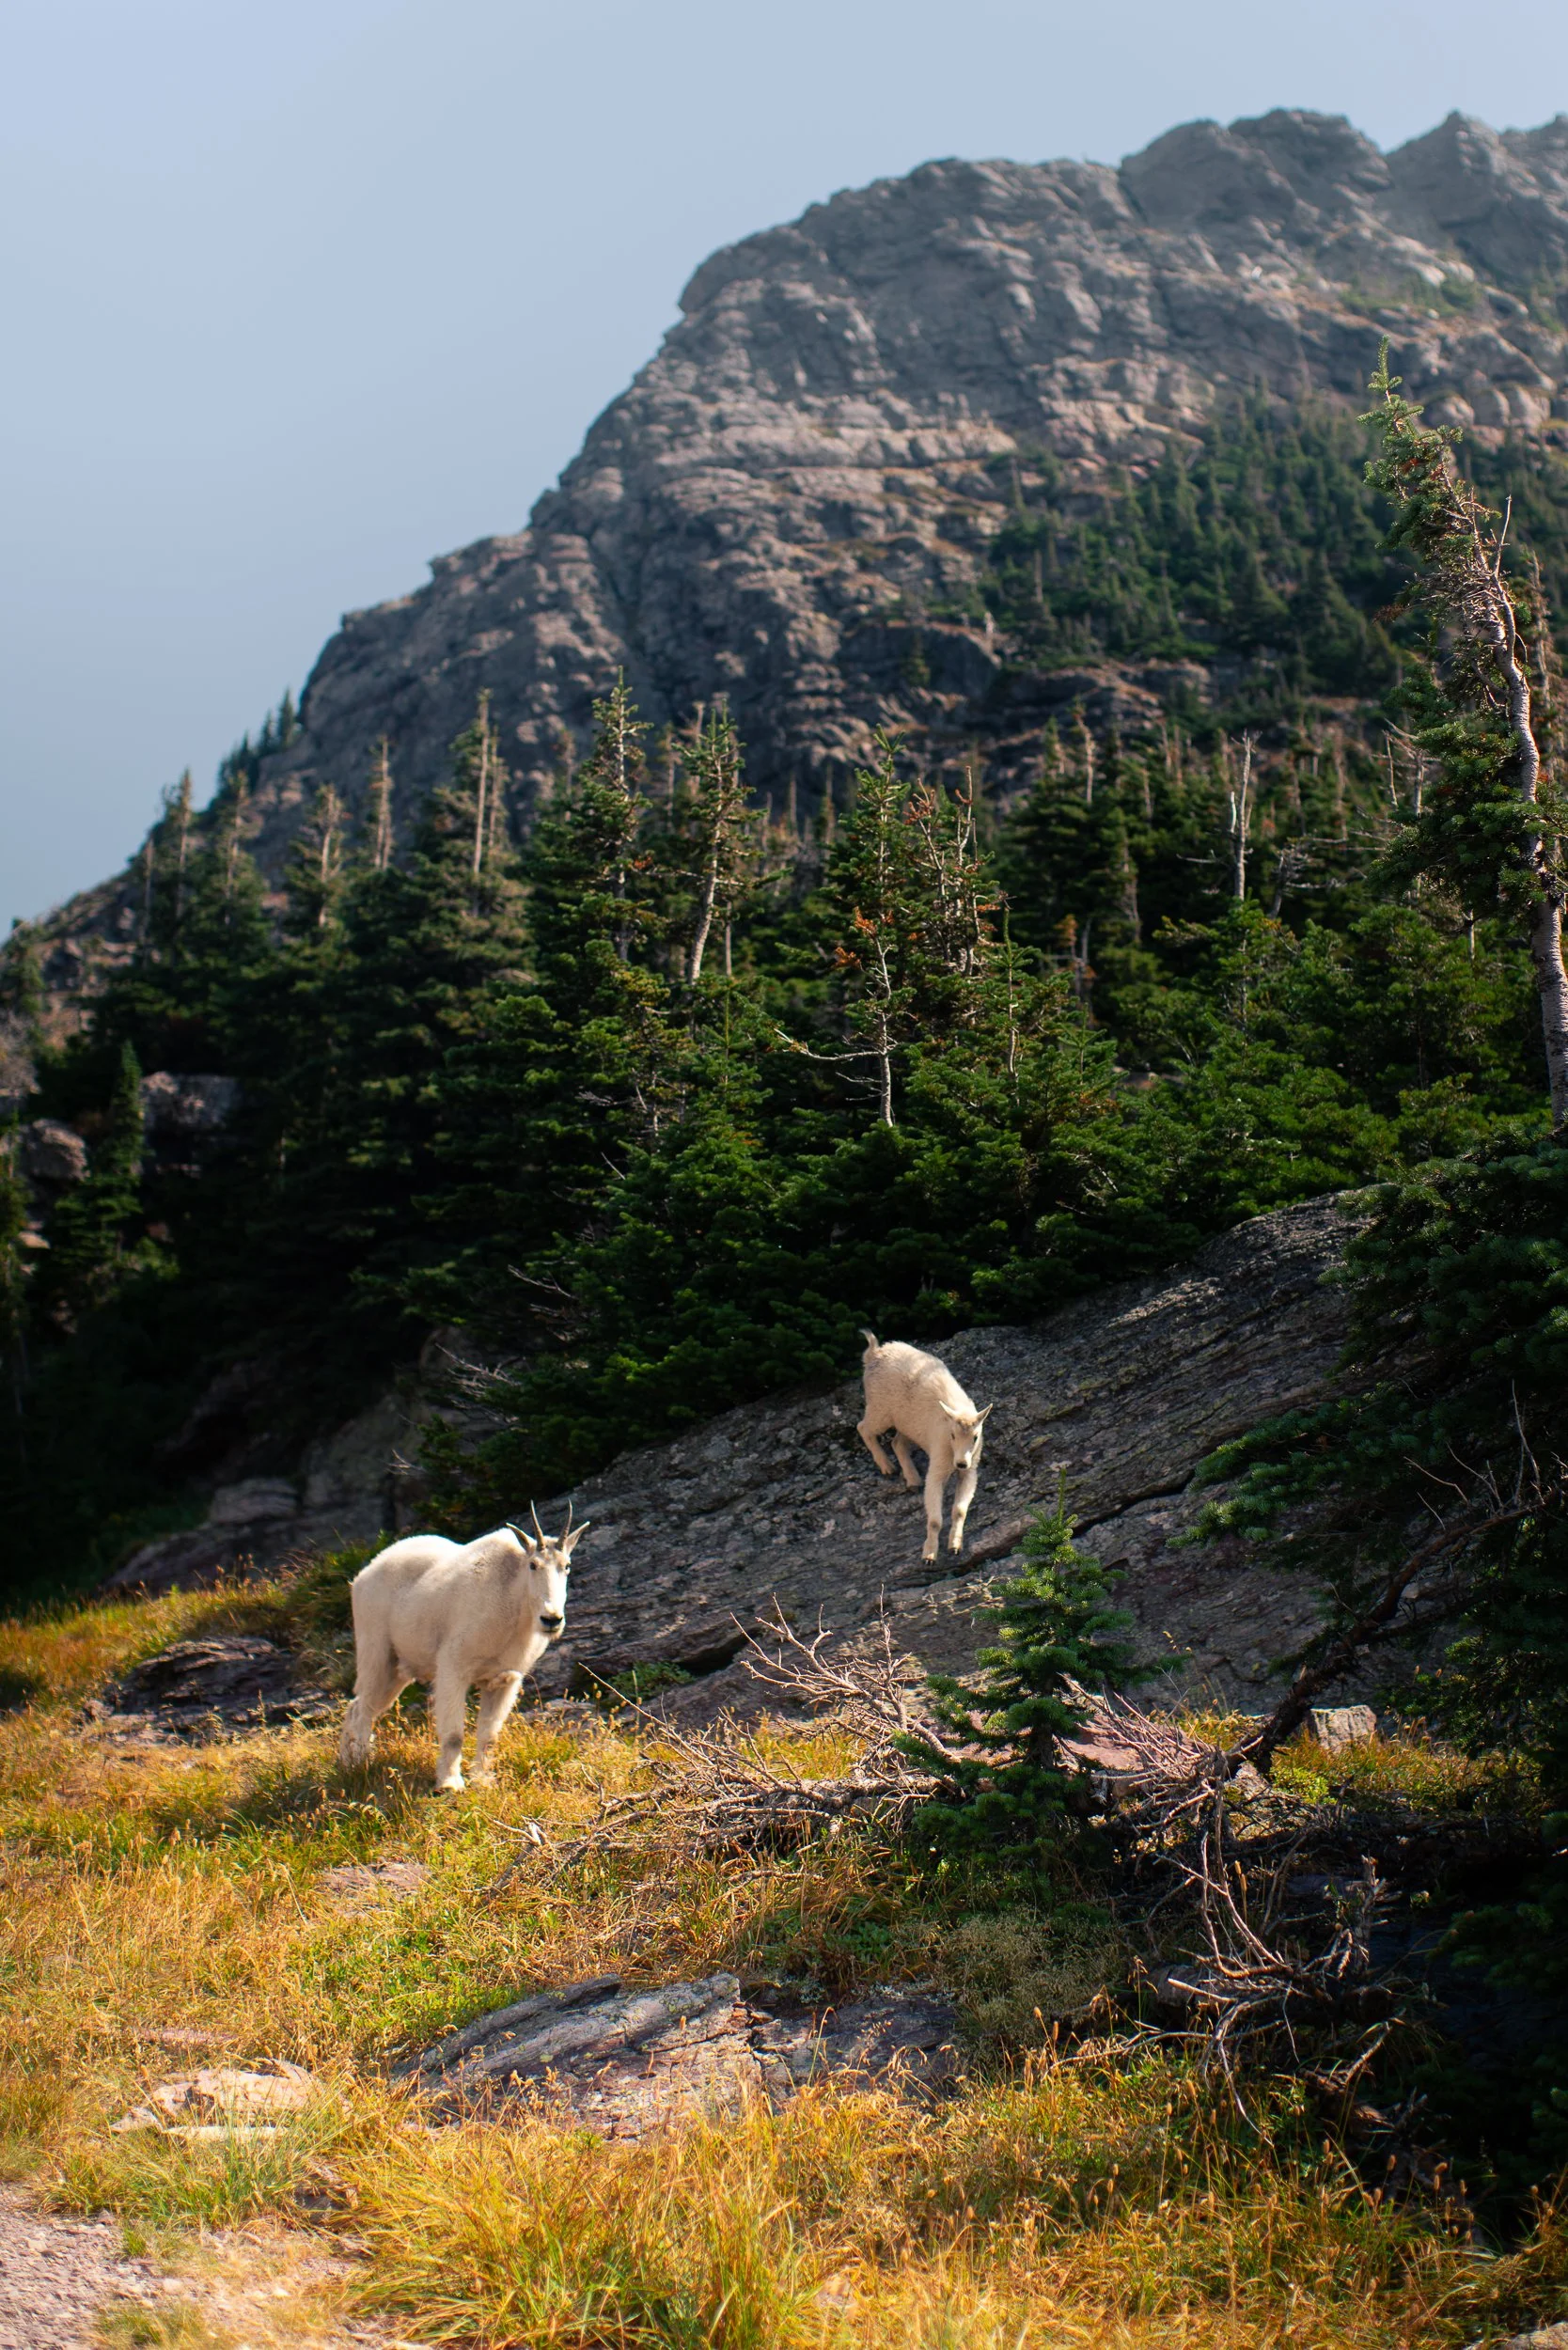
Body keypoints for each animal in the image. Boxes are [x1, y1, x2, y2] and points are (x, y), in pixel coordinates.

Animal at [338, 1503, 588, 1791]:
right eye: (533, 1565)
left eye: (567, 1566)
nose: (552, 1619)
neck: (515, 1601)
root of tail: (363, 1575)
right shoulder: (453, 1666)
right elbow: (454, 1733)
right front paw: (449, 1783)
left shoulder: (505, 1679)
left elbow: (490, 1735)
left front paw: (482, 1780)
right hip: (376, 1649)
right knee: (361, 1707)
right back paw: (357, 1764)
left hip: (398, 1667)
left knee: (360, 1707)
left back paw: (352, 1762)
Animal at [857, 1331, 992, 1562]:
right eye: (952, 1435)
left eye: (975, 1437)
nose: (960, 1463)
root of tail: (874, 1353)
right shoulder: (938, 1467)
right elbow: (935, 1519)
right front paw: (929, 1555)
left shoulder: (970, 1471)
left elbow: (960, 1510)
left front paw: (955, 1546)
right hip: (880, 1409)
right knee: (864, 1427)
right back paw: (887, 1467)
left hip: (907, 1423)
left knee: (897, 1442)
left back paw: (912, 1480)